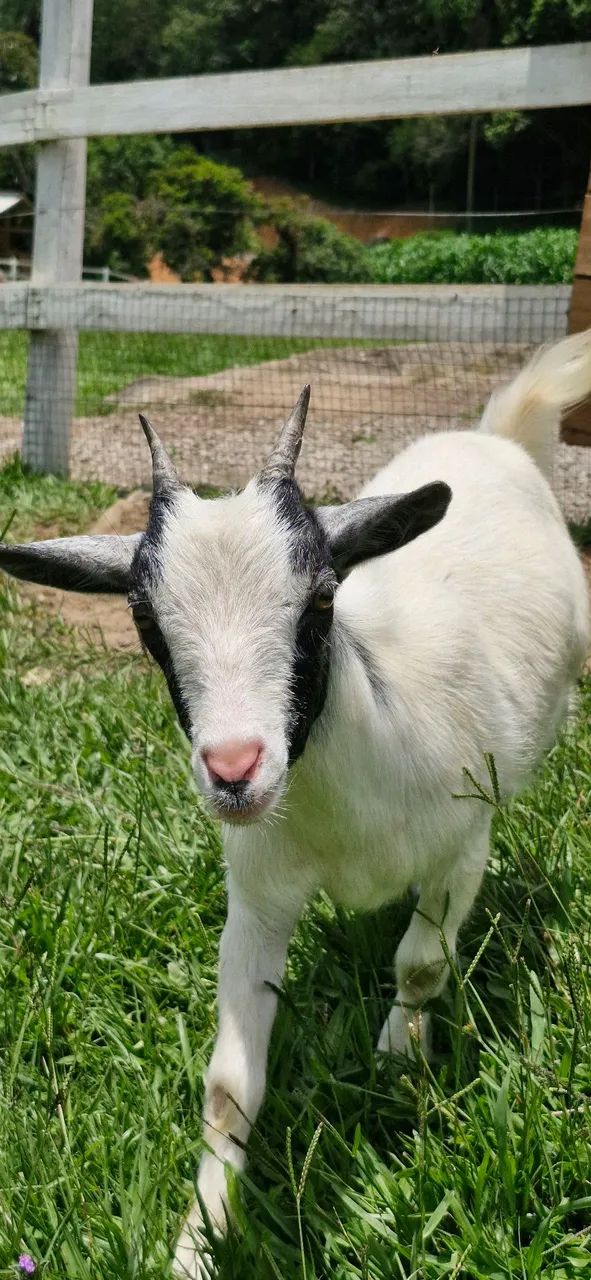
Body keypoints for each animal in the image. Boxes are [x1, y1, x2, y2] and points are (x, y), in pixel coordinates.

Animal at [1, 331, 590, 1279]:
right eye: (143, 621)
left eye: (321, 595)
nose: (235, 769)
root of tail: (492, 437)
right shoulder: (258, 896)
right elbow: (228, 1089)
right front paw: (198, 1243)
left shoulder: (463, 843)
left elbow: (420, 964)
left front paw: (397, 1062)